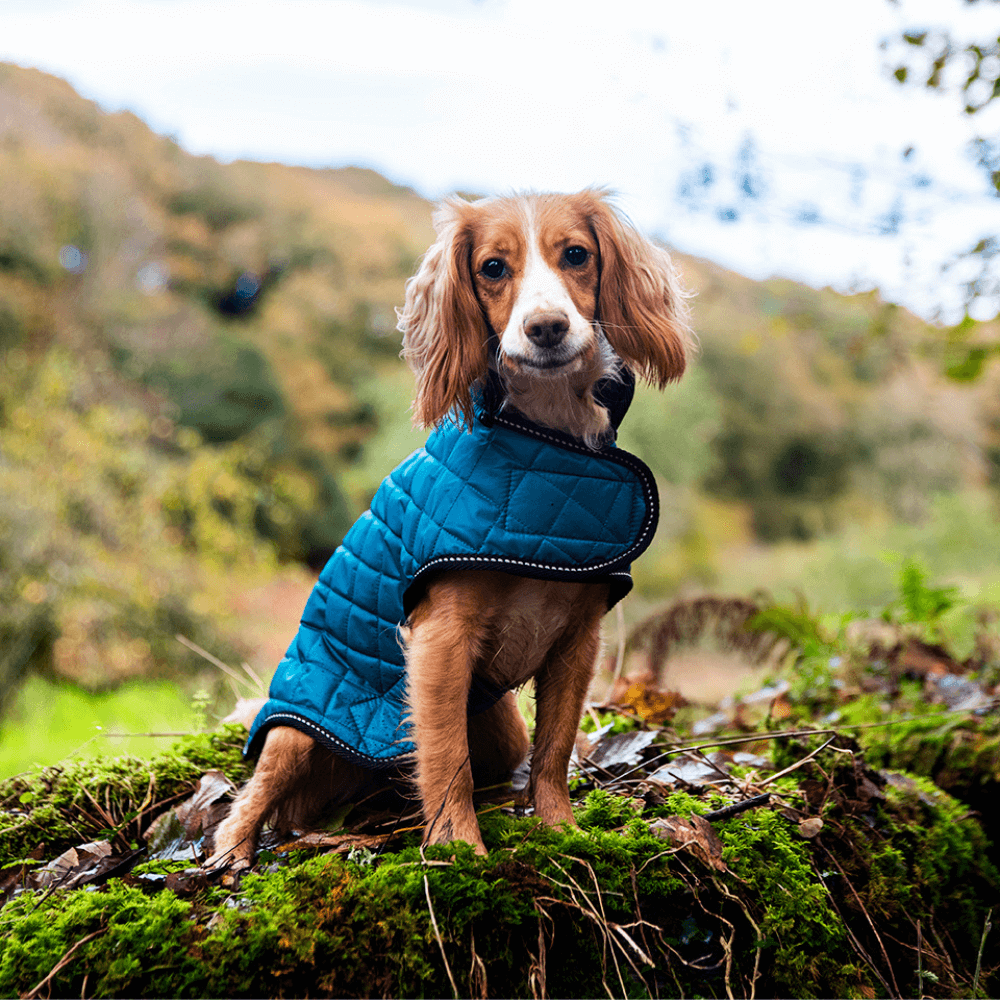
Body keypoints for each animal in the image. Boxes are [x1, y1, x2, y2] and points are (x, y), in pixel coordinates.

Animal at [209, 189, 696, 868]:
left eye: (576, 254)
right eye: (493, 267)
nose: (546, 327)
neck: (543, 451)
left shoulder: (578, 640)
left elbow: (553, 752)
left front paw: (562, 831)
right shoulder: (440, 638)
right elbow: (445, 756)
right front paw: (457, 848)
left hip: (500, 729)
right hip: (295, 731)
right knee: (254, 794)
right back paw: (232, 850)